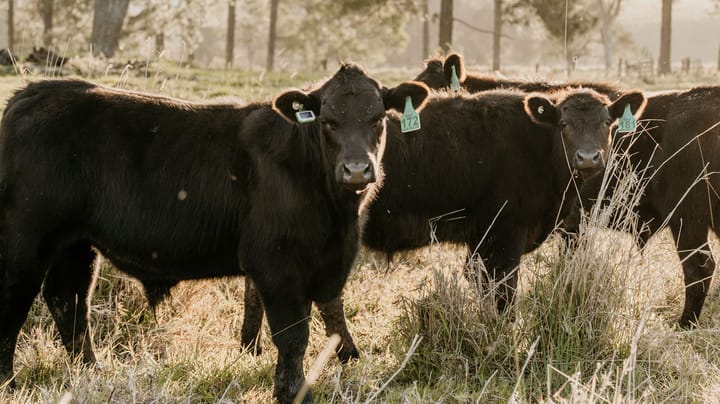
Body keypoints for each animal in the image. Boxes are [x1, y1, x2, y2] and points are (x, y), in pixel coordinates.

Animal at [0, 65, 430, 403]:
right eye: (327, 121)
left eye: (378, 118)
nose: (356, 169)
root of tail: (31, 94)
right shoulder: (275, 263)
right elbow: (293, 335)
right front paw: (293, 393)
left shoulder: (325, 264)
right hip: (25, 239)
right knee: (16, 301)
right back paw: (9, 381)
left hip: (75, 244)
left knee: (69, 300)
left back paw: (91, 373)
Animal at [240, 85, 647, 360]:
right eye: (564, 123)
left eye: (607, 123)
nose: (589, 157)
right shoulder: (504, 238)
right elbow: (504, 296)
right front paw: (503, 343)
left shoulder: (483, 243)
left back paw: (251, 345)